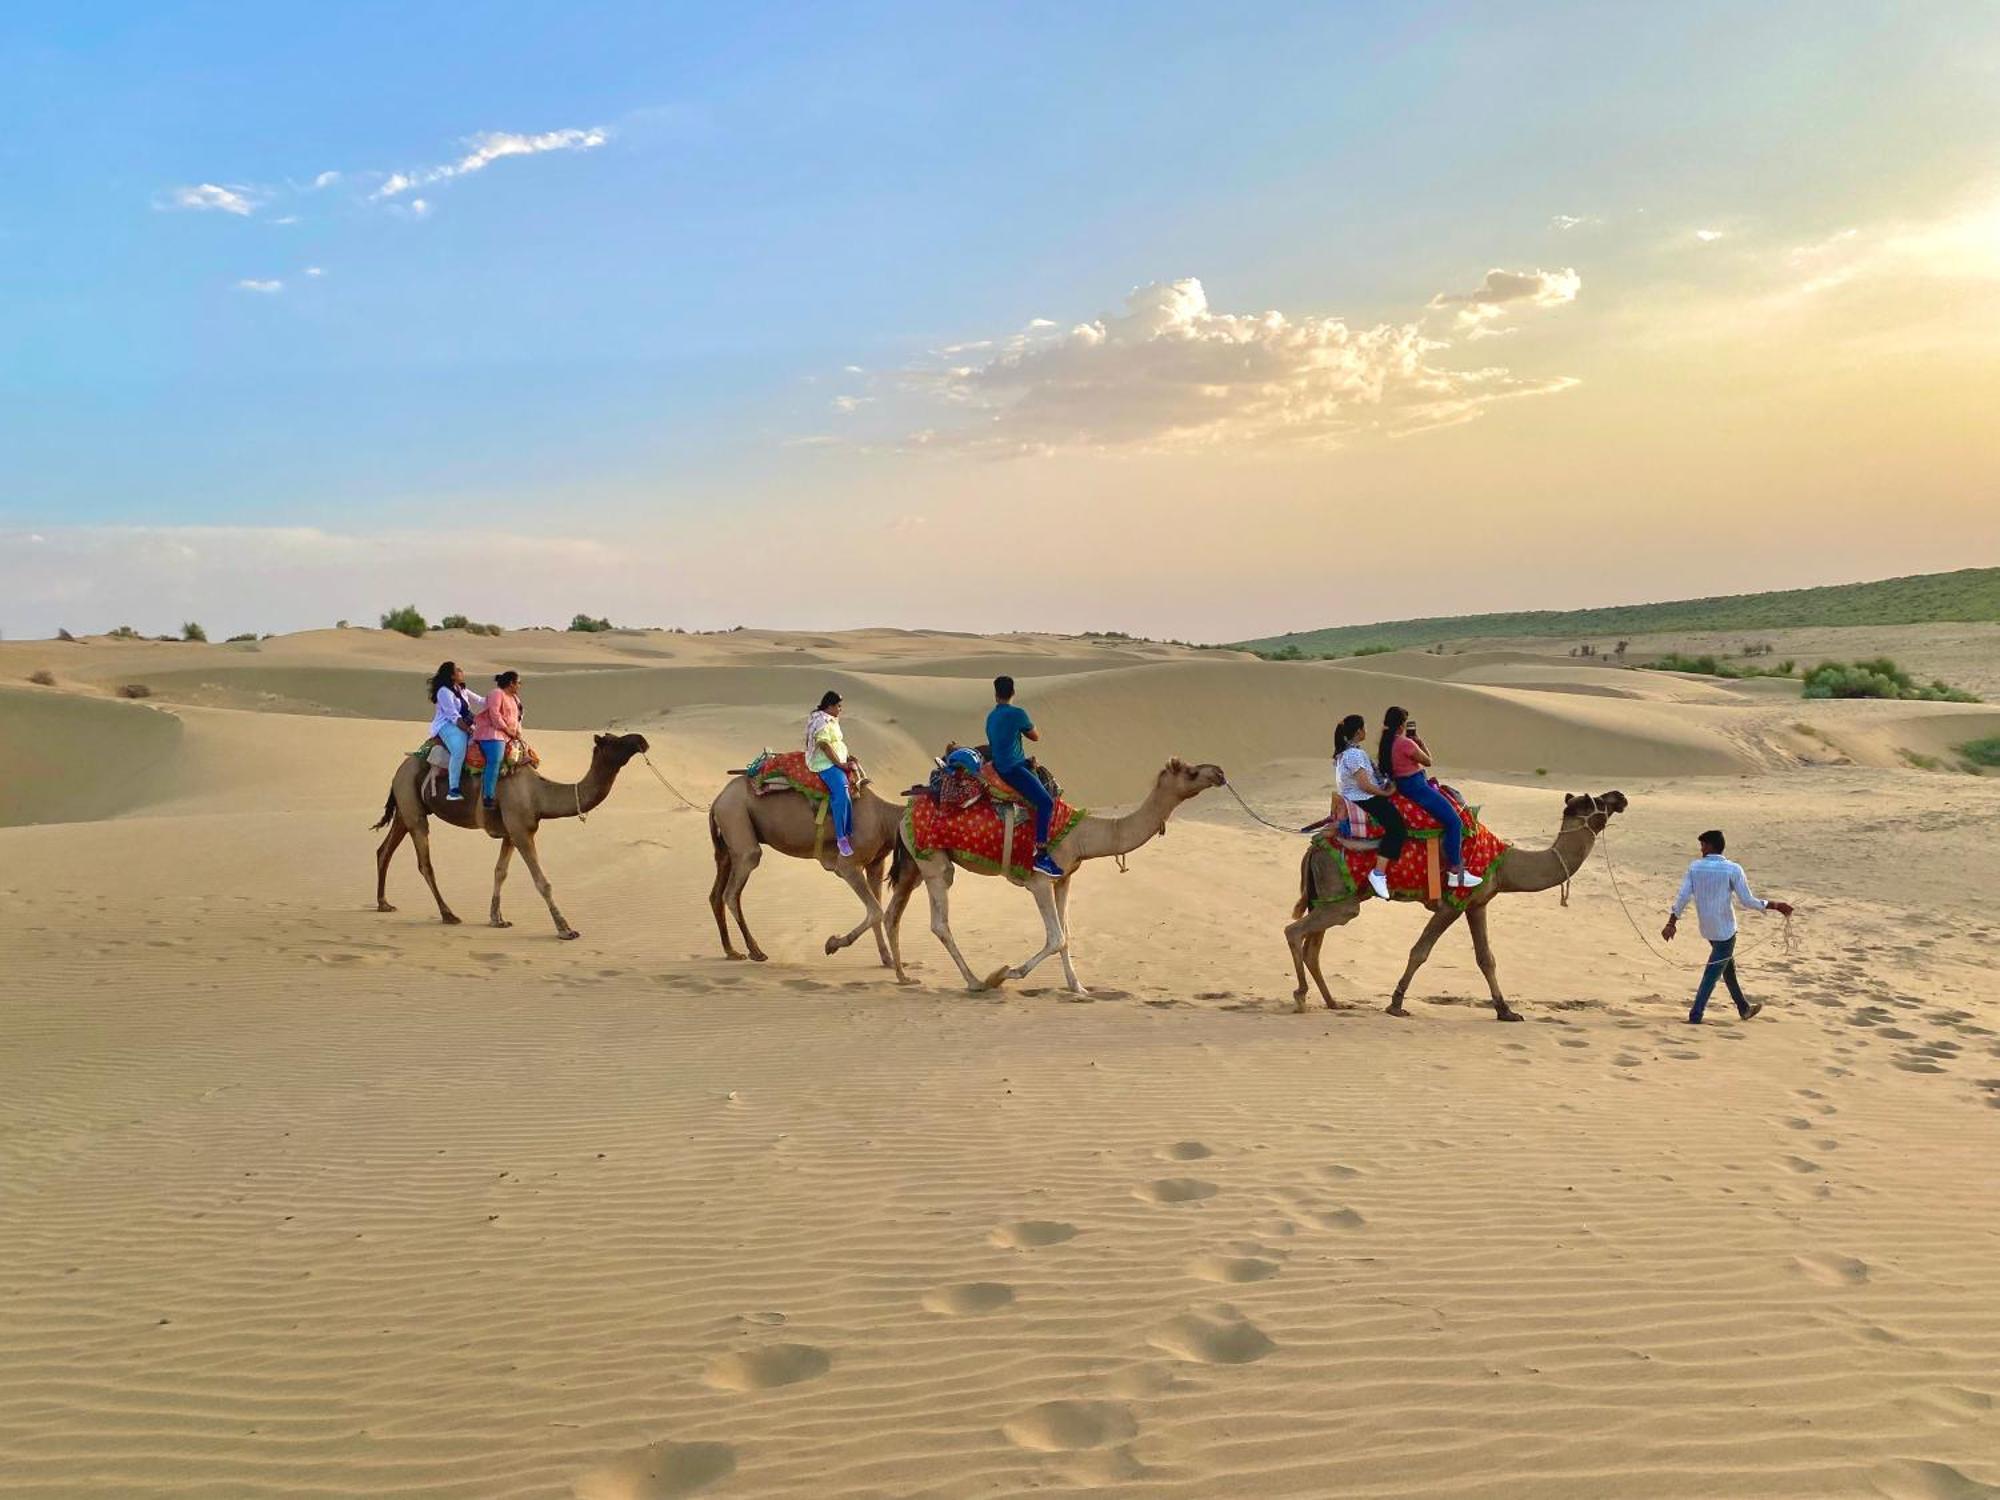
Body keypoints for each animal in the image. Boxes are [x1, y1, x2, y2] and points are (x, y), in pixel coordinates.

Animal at [372, 732, 652, 940]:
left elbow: (500, 872)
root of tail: (399, 770)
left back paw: (383, 903)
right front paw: (566, 929)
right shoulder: (520, 831)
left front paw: (497, 919)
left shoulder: (511, 833)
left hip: (405, 808)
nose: (641, 740)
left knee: (384, 850)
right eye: (614, 741)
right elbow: (542, 882)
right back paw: (448, 914)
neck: (539, 795)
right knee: (425, 864)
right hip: (414, 810)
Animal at [708, 768, 904, 968]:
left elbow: (877, 908)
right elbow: (876, 910)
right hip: (735, 817)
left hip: (726, 843)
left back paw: (731, 951)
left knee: (716, 893)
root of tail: (718, 800)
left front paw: (887, 959)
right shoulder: (847, 864)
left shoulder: (876, 864)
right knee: (734, 888)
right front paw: (832, 944)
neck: (883, 819)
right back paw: (756, 951)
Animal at [884, 764, 1224, 1000]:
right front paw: (1007, 973)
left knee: (893, 914)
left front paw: (1079, 988)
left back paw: (903, 977)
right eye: (1192, 772)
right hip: (934, 863)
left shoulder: (1064, 880)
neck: (1081, 834)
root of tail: (904, 814)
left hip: (913, 864)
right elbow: (1056, 936)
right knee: (939, 922)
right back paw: (977, 981)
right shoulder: (1040, 881)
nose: (1219, 772)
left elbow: (1067, 935)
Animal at [1280, 788, 1624, 1024]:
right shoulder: (1453, 903)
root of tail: (1313, 848)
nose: (1620, 797)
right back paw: (1300, 996)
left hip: (1330, 897)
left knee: (1313, 947)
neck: (1504, 864)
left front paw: (1506, 1011)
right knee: (1294, 931)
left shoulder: (1477, 904)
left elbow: (1486, 959)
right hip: (1342, 899)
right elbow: (1420, 951)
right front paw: (1396, 1004)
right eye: (1596, 801)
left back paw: (1333, 1003)